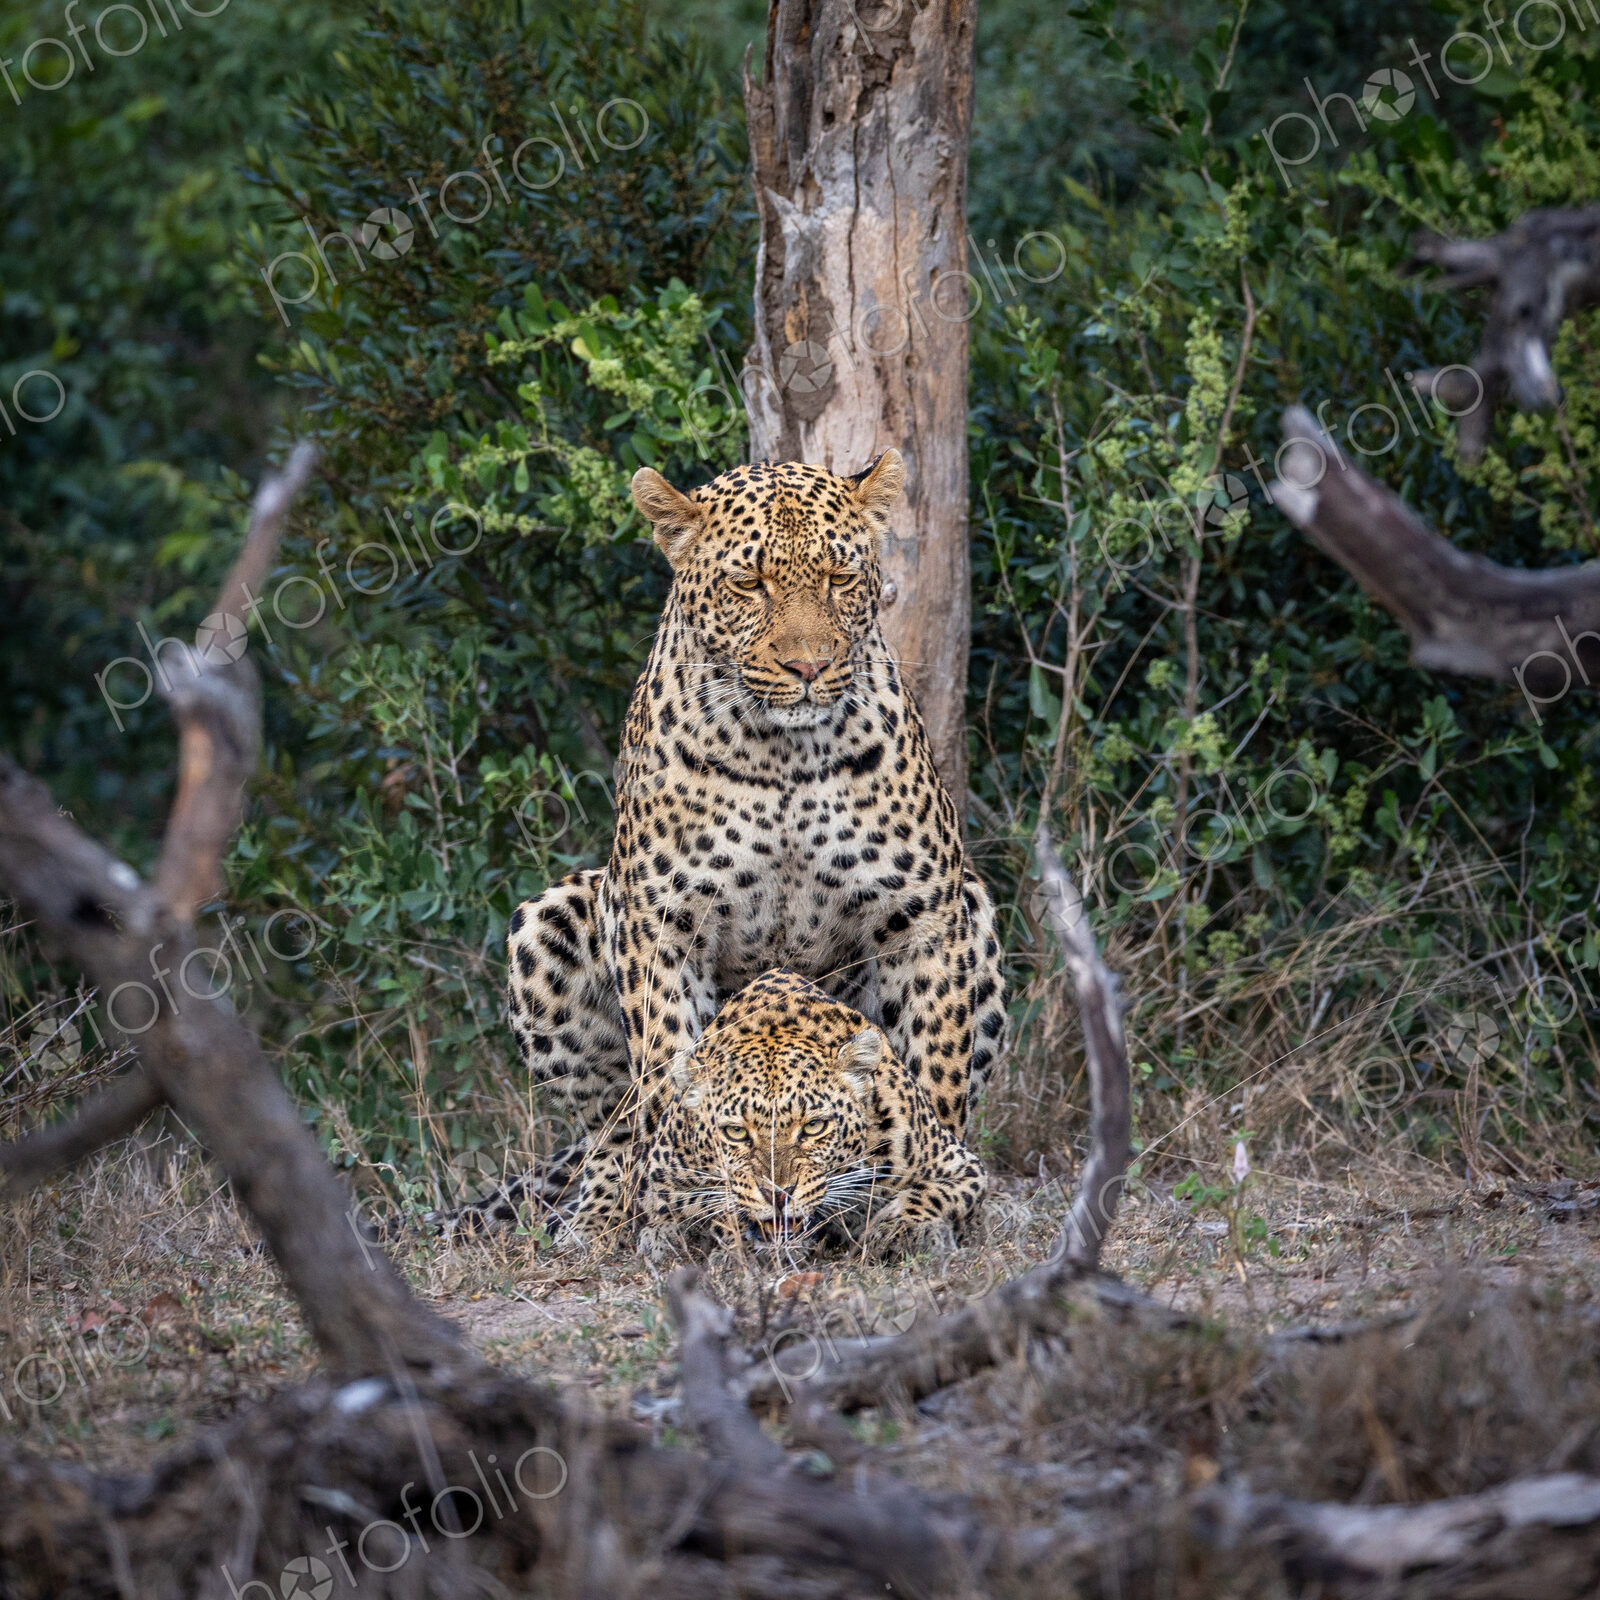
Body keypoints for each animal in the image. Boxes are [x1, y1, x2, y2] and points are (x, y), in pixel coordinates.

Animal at [637, 968, 988, 1258]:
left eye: (814, 1127)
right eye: (735, 1132)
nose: (778, 1196)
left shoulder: (959, 1164)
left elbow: (932, 1195)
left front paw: (900, 1230)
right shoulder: (657, 1174)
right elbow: (694, 1202)